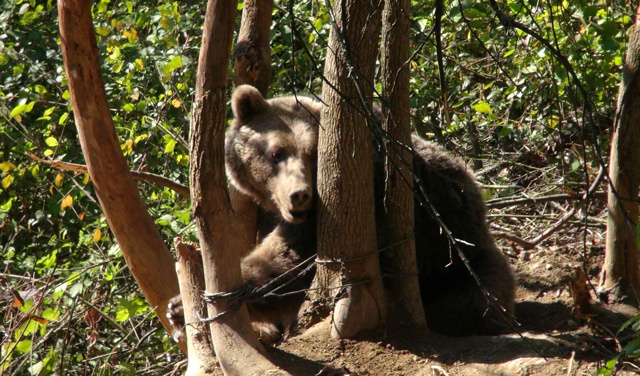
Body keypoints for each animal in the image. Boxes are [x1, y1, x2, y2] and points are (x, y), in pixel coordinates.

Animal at [169, 85, 516, 344]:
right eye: (276, 152)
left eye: (313, 155)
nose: (299, 194)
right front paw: (179, 305)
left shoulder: (363, 202)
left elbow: (288, 260)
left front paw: (188, 300)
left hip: (459, 258)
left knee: (474, 299)